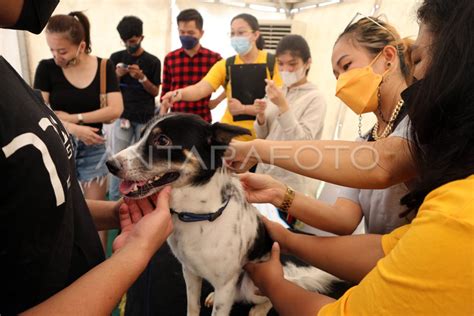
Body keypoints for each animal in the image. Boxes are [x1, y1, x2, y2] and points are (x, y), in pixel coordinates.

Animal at [107, 114, 336, 316]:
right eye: (141, 135)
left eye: (162, 140)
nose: (110, 164)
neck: (196, 215)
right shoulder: (189, 272)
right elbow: (192, 307)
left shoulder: (226, 285)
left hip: (252, 285)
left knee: (274, 294)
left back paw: (260, 310)